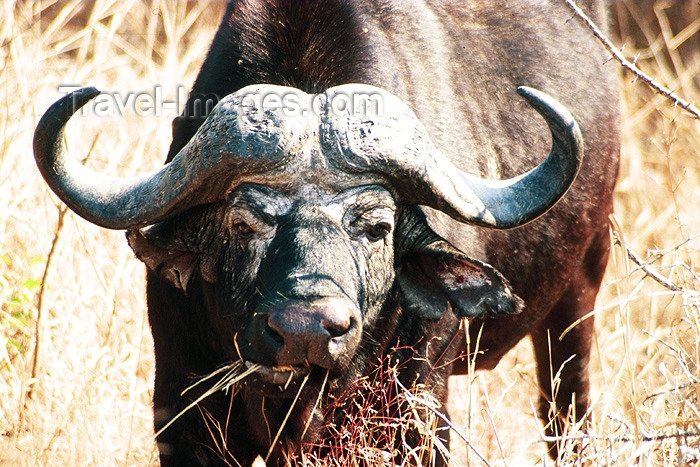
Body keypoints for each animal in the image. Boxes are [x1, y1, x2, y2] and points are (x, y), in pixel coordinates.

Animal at [35, 1, 620, 466]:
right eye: (243, 224)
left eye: (378, 228)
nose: (307, 330)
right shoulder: (183, 409)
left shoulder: (420, 410)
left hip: (580, 296)